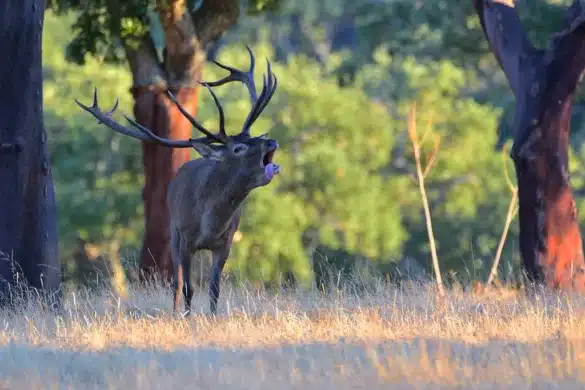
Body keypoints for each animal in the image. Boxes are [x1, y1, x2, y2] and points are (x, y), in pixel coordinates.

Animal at [73, 46, 280, 314]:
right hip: (172, 232)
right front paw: (188, 318)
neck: (210, 223)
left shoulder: (225, 242)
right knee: (176, 283)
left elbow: (214, 290)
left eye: (256, 137)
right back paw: (174, 311)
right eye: (238, 148)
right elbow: (187, 287)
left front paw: (213, 318)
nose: (271, 142)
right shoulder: (185, 237)